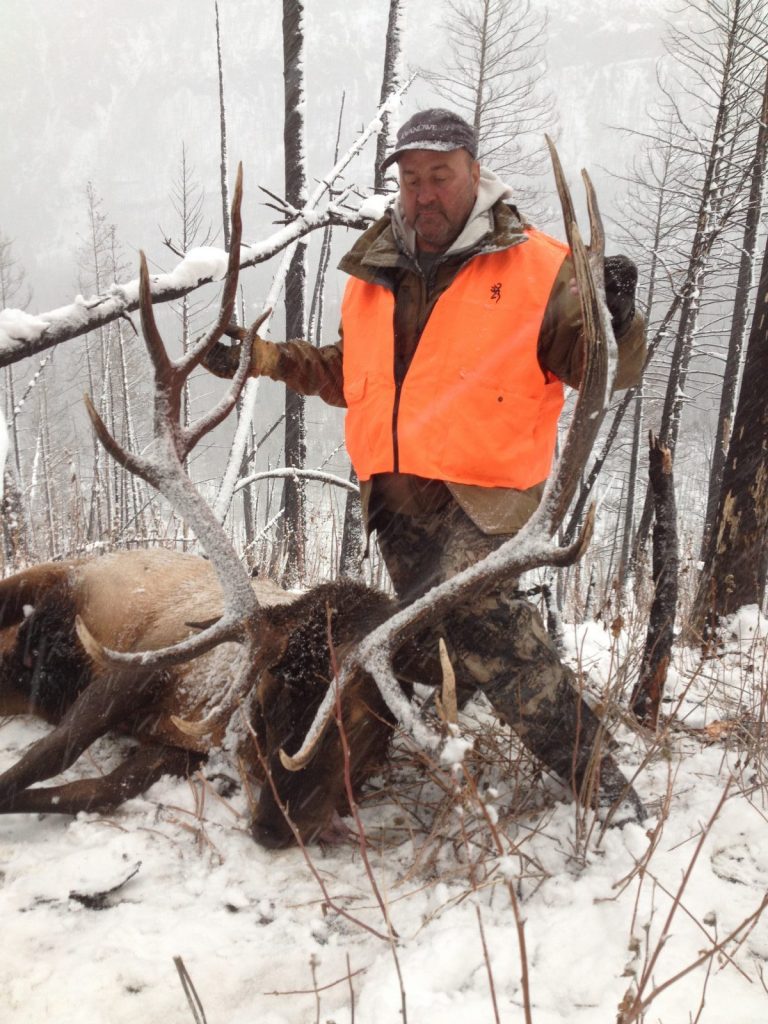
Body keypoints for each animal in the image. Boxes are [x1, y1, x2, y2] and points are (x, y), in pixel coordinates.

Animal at [0, 548, 415, 851]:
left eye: (358, 719)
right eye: (268, 700)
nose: (270, 828)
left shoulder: (178, 748)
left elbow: (98, 791)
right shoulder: (145, 662)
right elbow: (51, 753)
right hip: (44, 579)